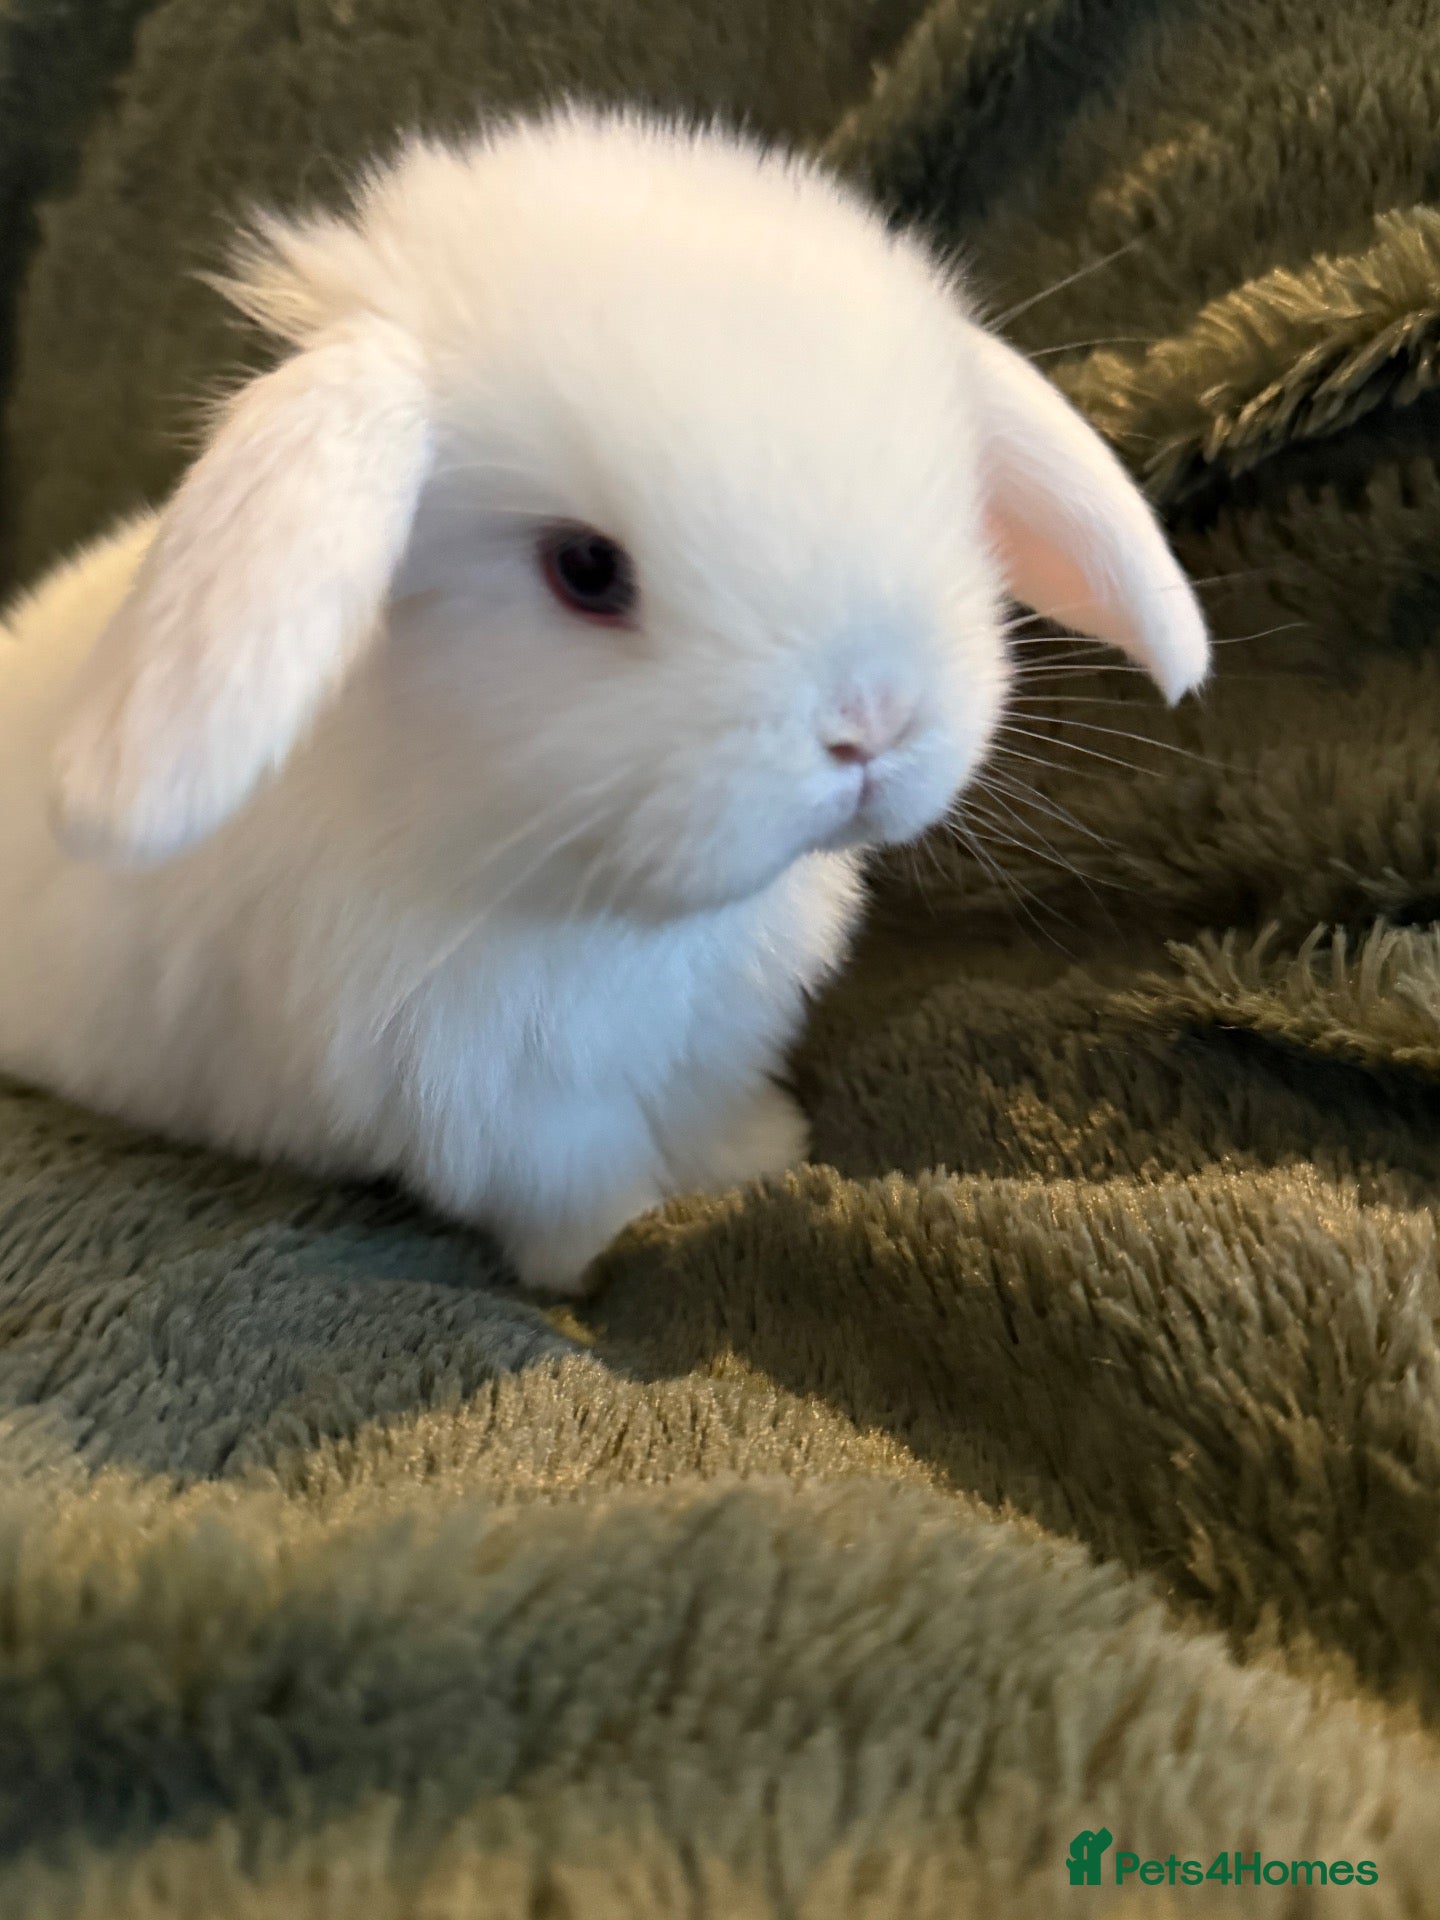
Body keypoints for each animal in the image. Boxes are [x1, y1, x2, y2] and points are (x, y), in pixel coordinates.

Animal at [0, 108, 1209, 1296]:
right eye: (585, 570)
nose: (871, 724)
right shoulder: (505, 1105)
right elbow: (585, 1191)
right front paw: (615, 1259)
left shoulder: (708, 1043)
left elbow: (710, 1114)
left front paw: (761, 1160)